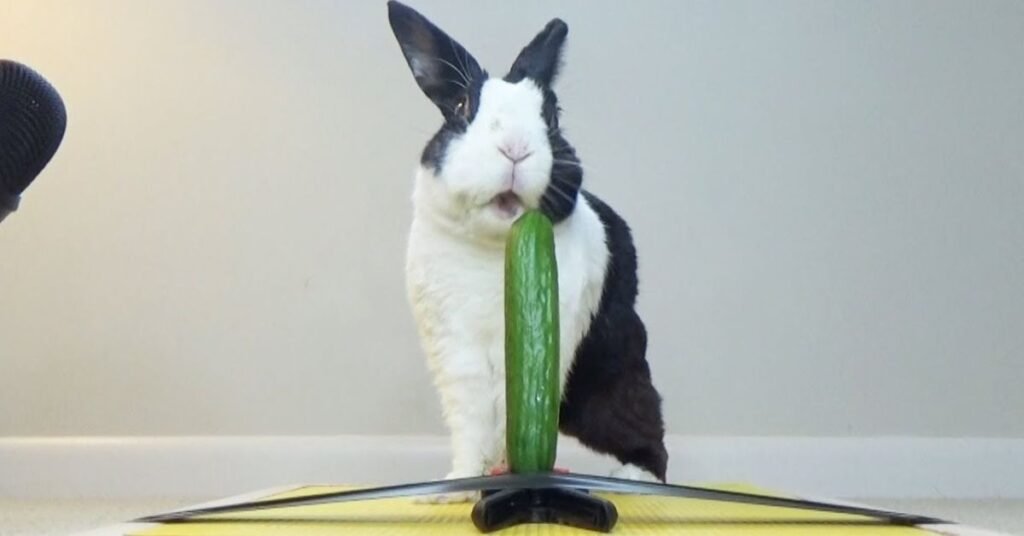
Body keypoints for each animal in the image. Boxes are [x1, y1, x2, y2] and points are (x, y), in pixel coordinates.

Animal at [387, 1, 669, 502]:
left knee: (646, 422)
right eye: (462, 108)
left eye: (552, 117)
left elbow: (511, 416)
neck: (492, 249)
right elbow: (472, 424)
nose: (514, 148)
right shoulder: (455, 354)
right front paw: (456, 485)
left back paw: (637, 476)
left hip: (611, 376)